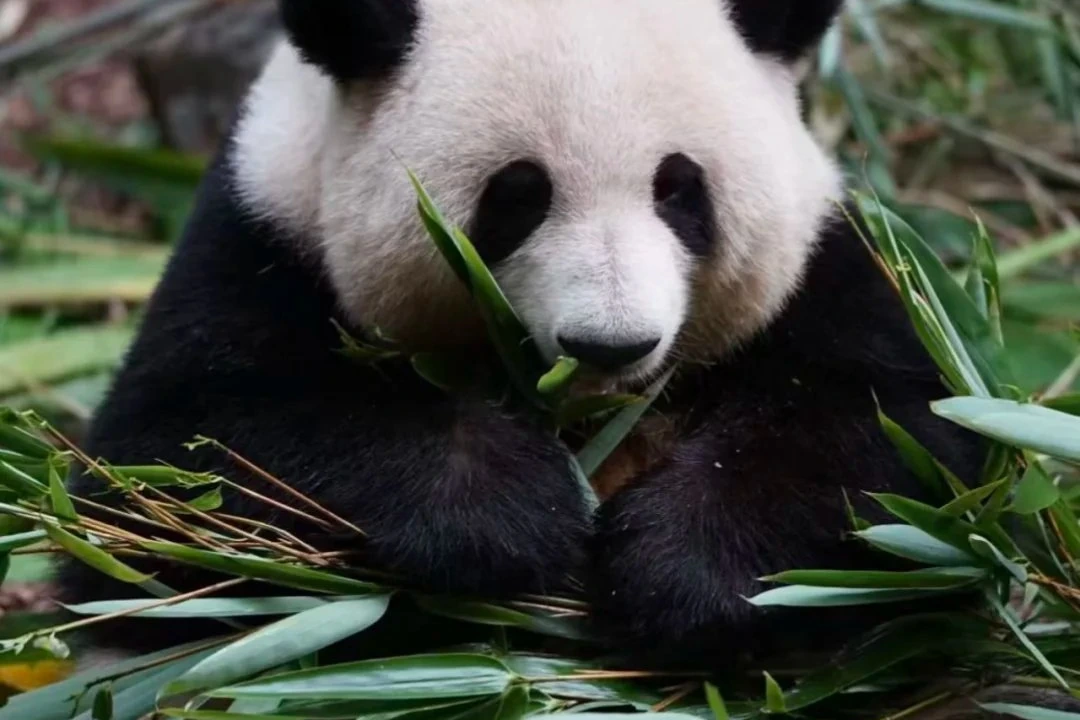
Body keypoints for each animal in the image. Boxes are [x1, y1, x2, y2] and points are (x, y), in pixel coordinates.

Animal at [56, 0, 984, 663]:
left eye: (680, 190)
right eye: (517, 196)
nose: (612, 346)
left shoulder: (823, 267)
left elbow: (896, 438)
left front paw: (682, 566)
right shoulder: (263, 233)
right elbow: (173, 469)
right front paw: (510, 508)